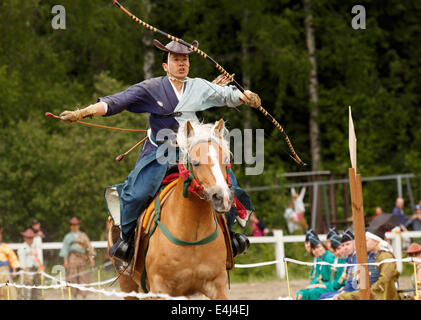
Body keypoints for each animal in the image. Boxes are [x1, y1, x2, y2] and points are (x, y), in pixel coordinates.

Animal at [108, 119, 233, 300]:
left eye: (225, 161)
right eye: (196, 162)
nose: (222, 197)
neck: (192, 235)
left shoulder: (217, 285)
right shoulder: (161, 288)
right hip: (127, 284)